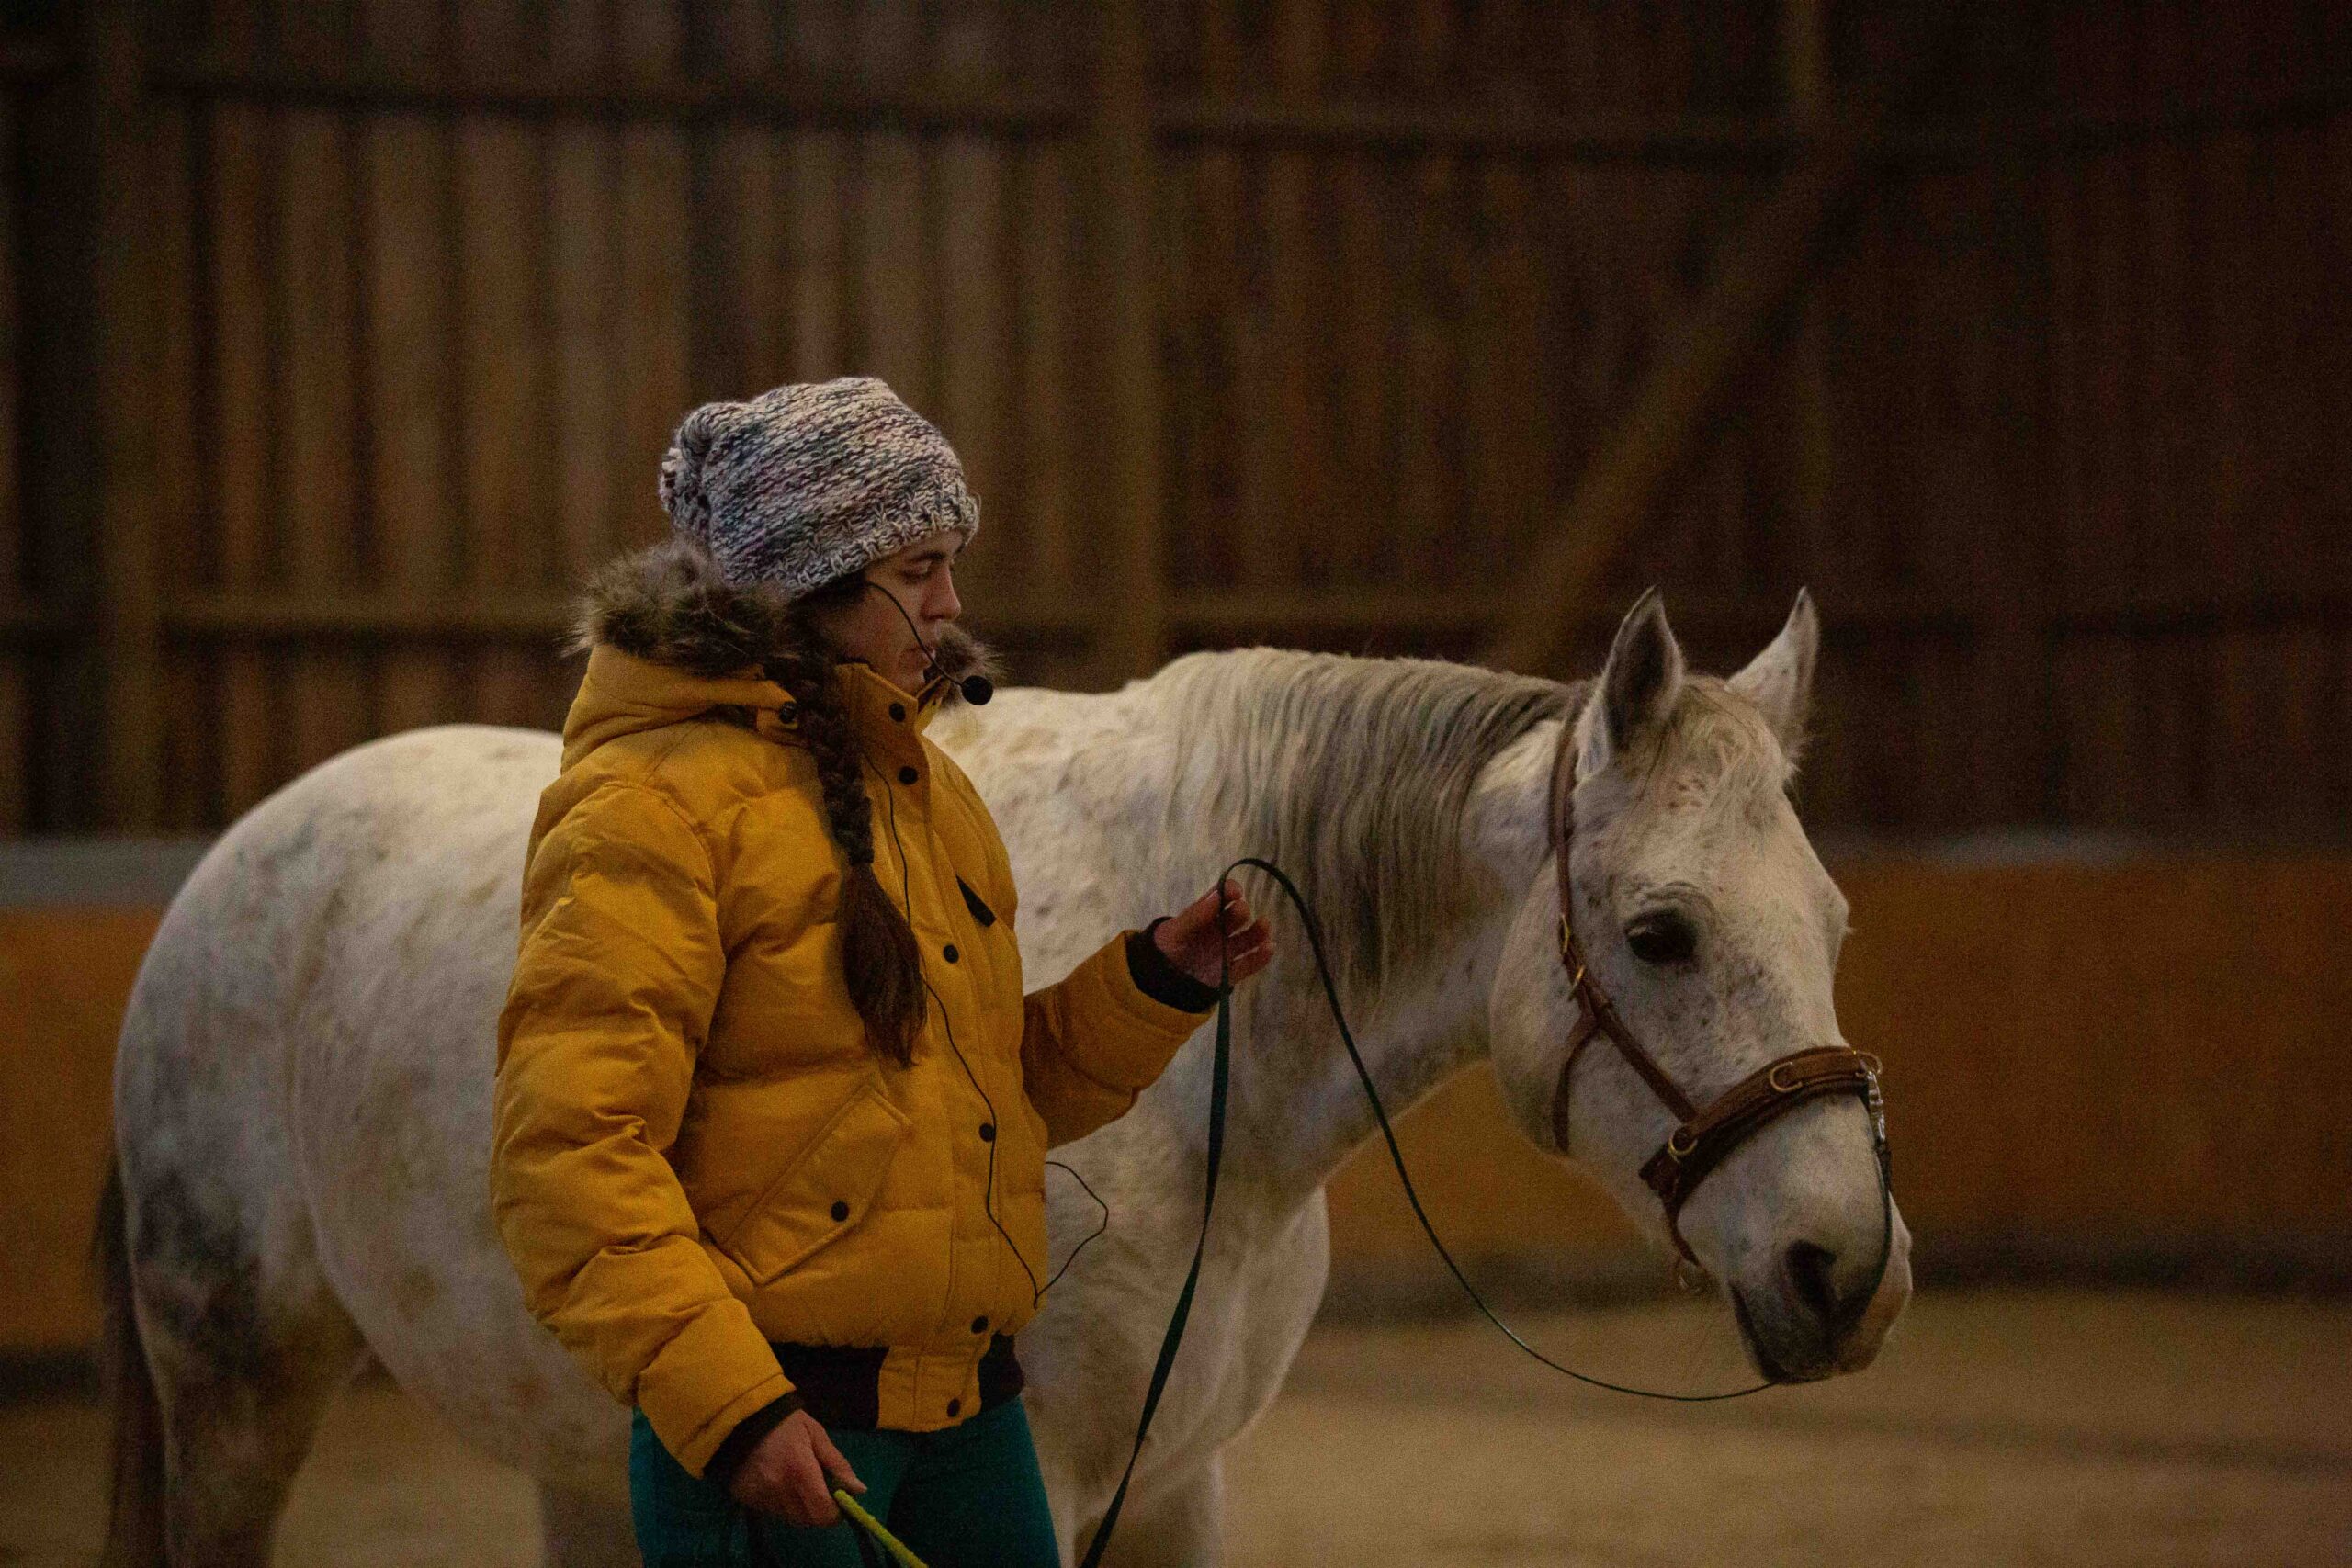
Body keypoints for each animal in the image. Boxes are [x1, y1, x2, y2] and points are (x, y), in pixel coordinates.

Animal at [101, 592, 1918, 1568]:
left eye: (1835, 921)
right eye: (1662, 931)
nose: (1849, 1270)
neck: (1219, 1119)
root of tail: (222, 879)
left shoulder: (1173, 1483)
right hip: (240, 1387)